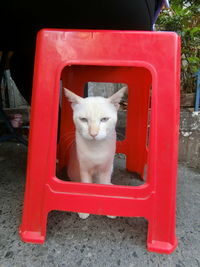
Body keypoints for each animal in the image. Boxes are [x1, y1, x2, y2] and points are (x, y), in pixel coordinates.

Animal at [64, 88, 126, 220]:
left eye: (104, 119)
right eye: (83, 119)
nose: (93, 133)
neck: (96, 148)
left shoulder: (106, 168)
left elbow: (104, 185)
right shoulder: (84, 169)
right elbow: (87, 186)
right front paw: (85, 209)